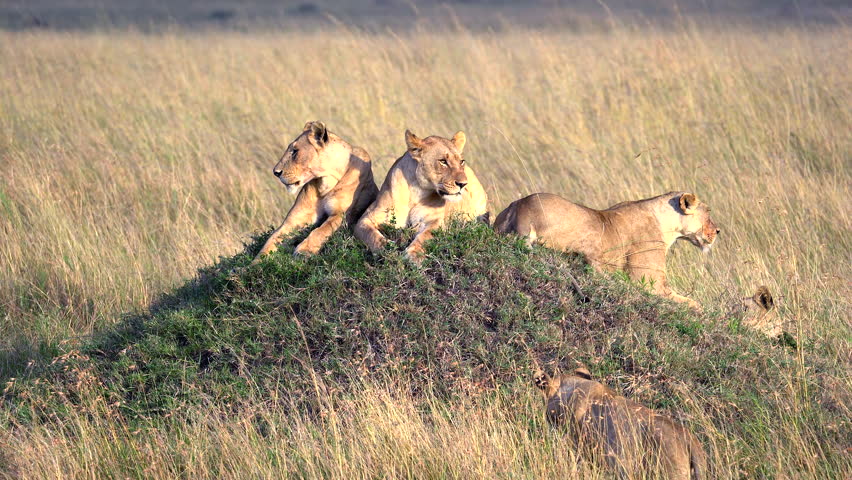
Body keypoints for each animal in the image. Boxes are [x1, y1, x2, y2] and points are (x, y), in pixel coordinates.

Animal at [253, 121, 378, 262]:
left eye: (295, 151)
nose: (276, 172)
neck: (325, 182)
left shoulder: (342, 214)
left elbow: (322, 230)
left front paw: (303, 251)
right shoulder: (295, 219)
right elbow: (271, 240)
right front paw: (254, 264)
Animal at [354, 129, 488, 261]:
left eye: (461, 162)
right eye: (443, 161)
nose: (463, 184)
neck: (416, 191)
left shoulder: (436, 222)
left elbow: (425, 236)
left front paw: (414, 255)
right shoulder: (367, 218)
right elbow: (371, 235)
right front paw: (387, 249)